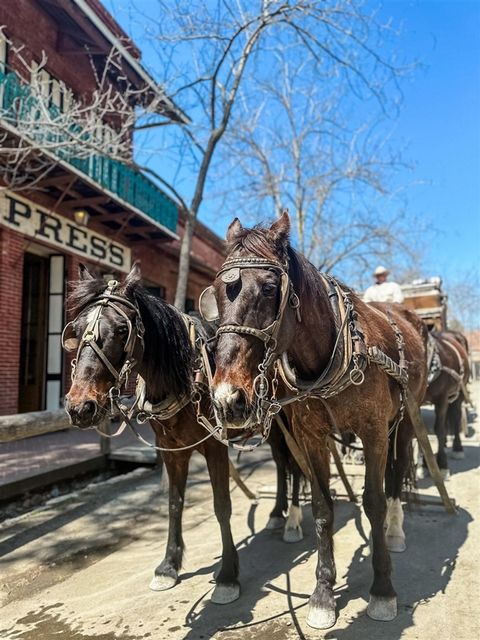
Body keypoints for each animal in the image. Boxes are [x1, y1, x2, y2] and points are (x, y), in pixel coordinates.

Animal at [62, 262, 304, 604]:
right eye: (76, 329)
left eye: (122, 330)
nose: (80, 406)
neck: (184, 378)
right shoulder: (170, 450)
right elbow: (174, 504)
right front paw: (168, 565)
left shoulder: (215, 446)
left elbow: (222, 506)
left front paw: (228, 575)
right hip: (269, 426)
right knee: (282, 463)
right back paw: (276, 513)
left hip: (290, 417)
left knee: (296, 464)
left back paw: (293, 520)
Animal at [206, 212, 428, 628]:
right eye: (215, 292)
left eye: (269, 288)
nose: (228, 398)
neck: (330, 353)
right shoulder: (311, 436)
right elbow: (323, 508)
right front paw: (324, 593)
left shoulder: (374, 431)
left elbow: (373, 502)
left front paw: (382, 589)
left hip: (406, 417)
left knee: (398, 468)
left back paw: (395, 530)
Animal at [422, 330, 470, 476]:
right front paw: (426, 464)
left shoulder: (442, 398)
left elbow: (439, 429)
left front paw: (442, 464)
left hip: (459, 392)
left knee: (455, 417)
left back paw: (457, 448)